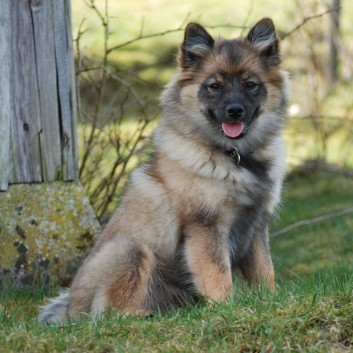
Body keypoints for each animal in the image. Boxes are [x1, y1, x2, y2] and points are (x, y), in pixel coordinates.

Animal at [40, 17, 288, 324]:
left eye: (251, 85)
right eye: (214, 86)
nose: (234, 111)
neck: (235, 156)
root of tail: (72, 309)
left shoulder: (255, 226)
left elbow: (265, 272)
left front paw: (271, 301)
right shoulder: (206, 227)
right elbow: (218, 276)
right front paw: (226, 309)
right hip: (131, 249)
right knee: (111, 314)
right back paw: (146, 316)